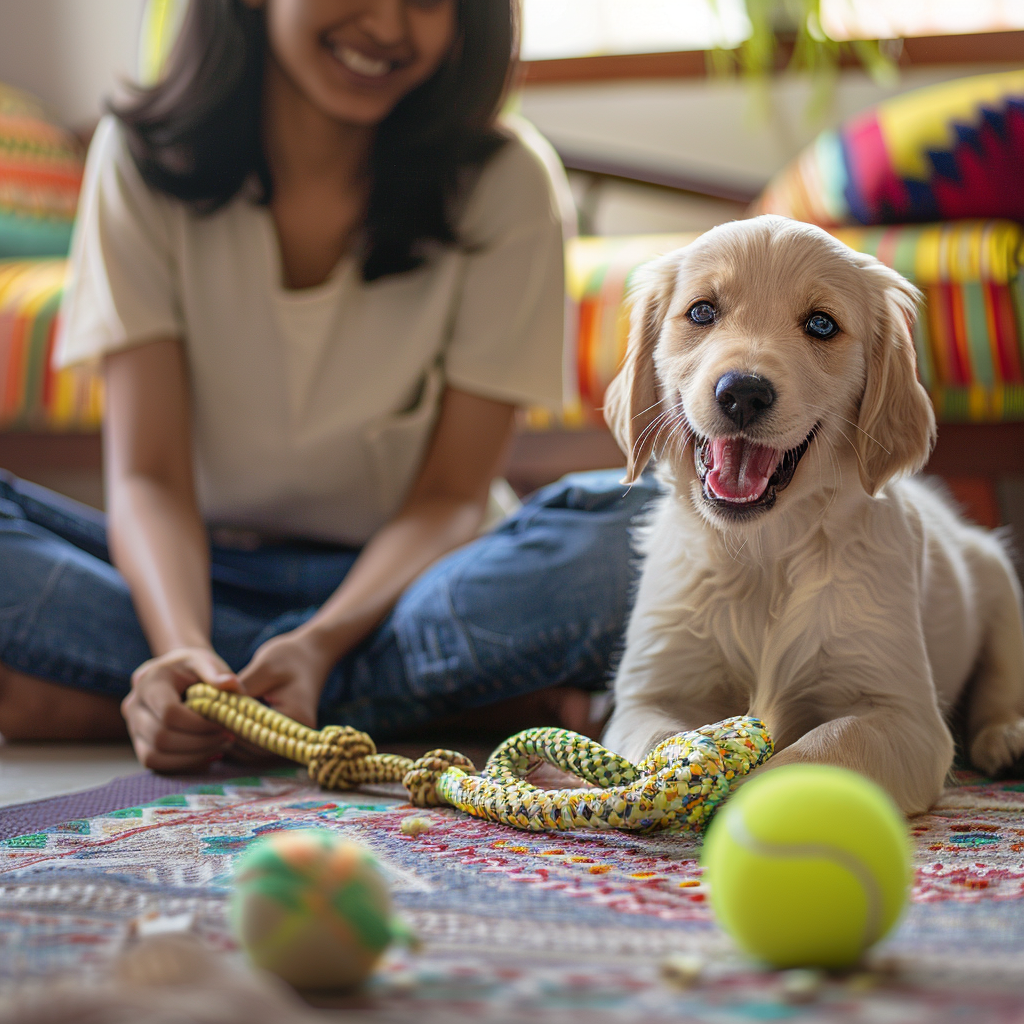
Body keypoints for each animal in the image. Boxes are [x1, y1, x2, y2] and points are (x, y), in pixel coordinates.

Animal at [598, 216, 1024, 815]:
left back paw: (1005, 736)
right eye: (702, 312)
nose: (743, 393)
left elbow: (822, 747)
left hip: (999, 579)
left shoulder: (905, 716)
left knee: (1002, 682)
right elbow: (659, 743)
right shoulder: (649, 692)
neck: (765, 554)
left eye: (821, 325)